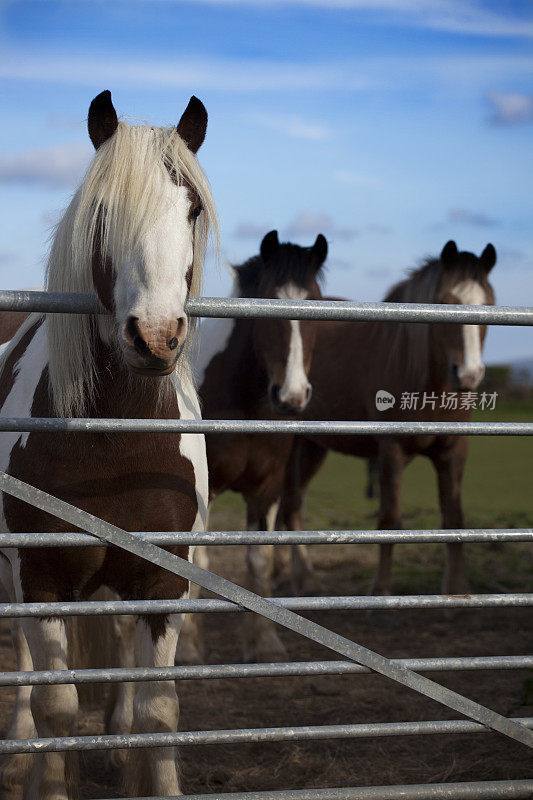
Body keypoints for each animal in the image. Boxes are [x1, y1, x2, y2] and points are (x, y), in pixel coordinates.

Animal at [0, 89, 217, 800]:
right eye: (103, 214)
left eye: (192, 209)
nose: (156, 337)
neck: (114, 445)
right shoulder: (40, 576)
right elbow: (56, 707)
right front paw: (47, 777)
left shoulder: (165, 580)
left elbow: (159, 709)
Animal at [184, 231, 328, 664]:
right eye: (267, 304)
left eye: (317, 305)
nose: (292, 396)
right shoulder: (204, 491)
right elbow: (198, 563)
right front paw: (190, 648)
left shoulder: (268, 490)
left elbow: (258, 561)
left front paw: (264, 643)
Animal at [278, 241, 494, 596]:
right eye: (445, 303)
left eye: (488, 305)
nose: (469, 375)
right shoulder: (391, 450)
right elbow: (389, 521)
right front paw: (380, 591)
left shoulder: (453, 451)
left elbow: (454, 519)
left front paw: (456, 589)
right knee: (287, 506)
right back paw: (300, 579)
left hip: (312, 446)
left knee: (291, 506)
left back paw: (293, 576)